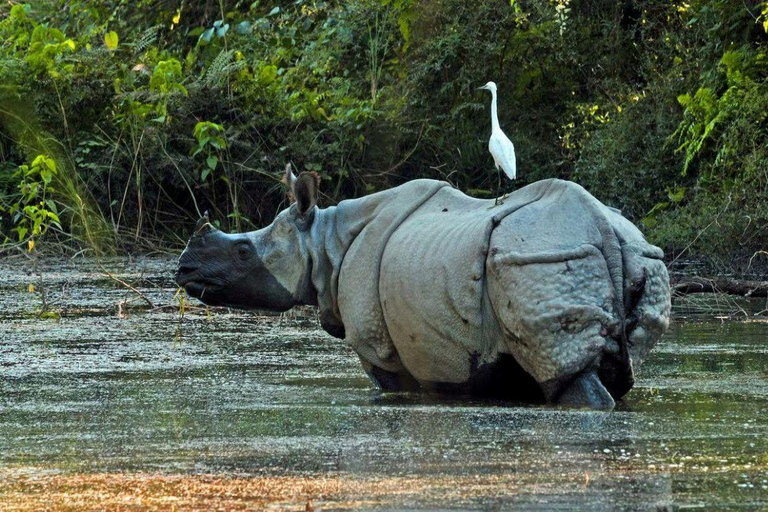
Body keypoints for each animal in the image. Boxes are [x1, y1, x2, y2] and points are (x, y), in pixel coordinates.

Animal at [175, 168, 671, 410]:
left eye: (244, 252)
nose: (184, 268)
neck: (322, 240)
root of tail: (603, 228)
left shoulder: (378, 347)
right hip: (637, 255)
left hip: (540, 256)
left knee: (566, 374)